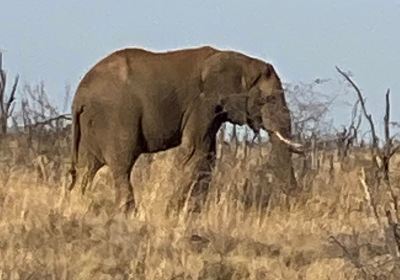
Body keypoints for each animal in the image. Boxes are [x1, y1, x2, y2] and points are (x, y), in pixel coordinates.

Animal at [69, 46, 302, 214]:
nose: (292, 203)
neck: (243, 60)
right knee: (122, 164)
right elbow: (195, 151)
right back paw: (128, 212)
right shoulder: (202, 103)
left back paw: (78, 204)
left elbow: (208, 155)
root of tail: (80, 94)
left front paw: (192, 211)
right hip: (117, 116)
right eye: (268, 99)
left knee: (86, 167)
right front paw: (175, 209)